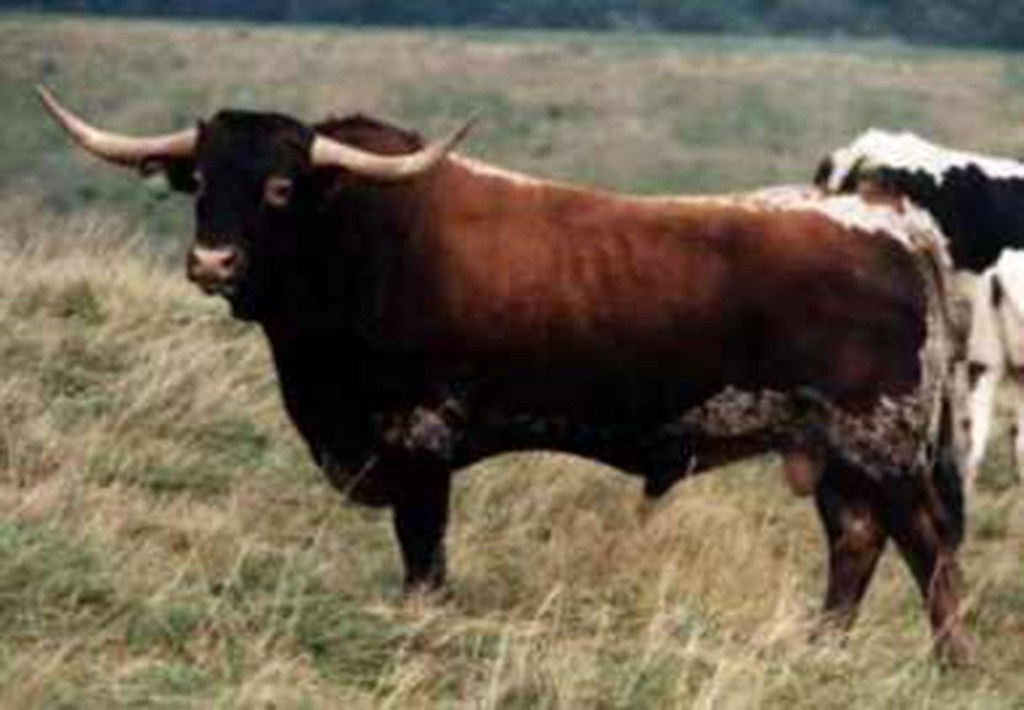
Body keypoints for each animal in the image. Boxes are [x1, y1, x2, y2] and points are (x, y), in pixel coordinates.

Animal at [38, 87, 972, 663]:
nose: (211, 261)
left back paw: (949, 666)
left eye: (278, 186)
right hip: (836, 451)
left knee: (930, 550)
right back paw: (822, 650)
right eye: (200, 181)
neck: (359, 239)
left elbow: (424, 559)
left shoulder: (418, 440)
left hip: (882, 444)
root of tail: (890, 216)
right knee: (856, 542)